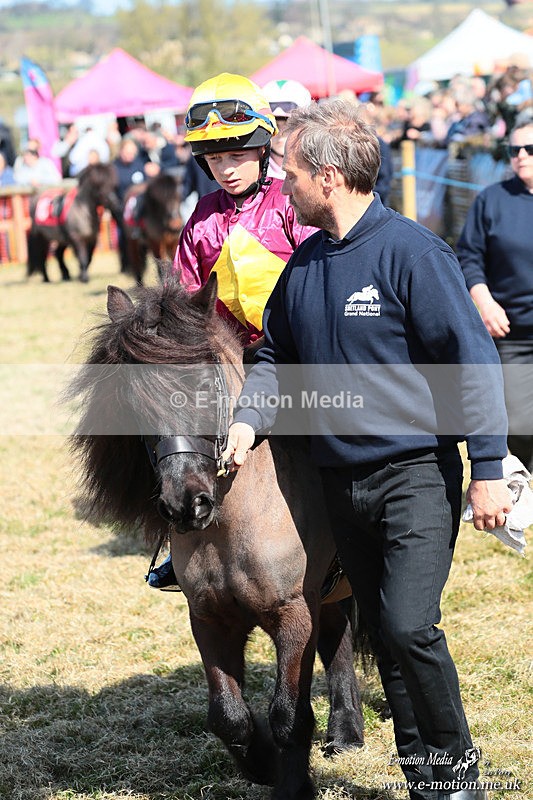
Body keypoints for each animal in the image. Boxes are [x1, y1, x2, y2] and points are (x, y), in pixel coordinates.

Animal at [66, 272, 367, 800]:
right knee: (339, 634)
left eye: (206, 384)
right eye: (133, 401)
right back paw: (345, 733)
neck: (232, 524)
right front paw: (261, 764)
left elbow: (288, 714)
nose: (186, 504)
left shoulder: (294, 614)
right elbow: (228, 716)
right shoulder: (209, 618)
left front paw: (292, 782)